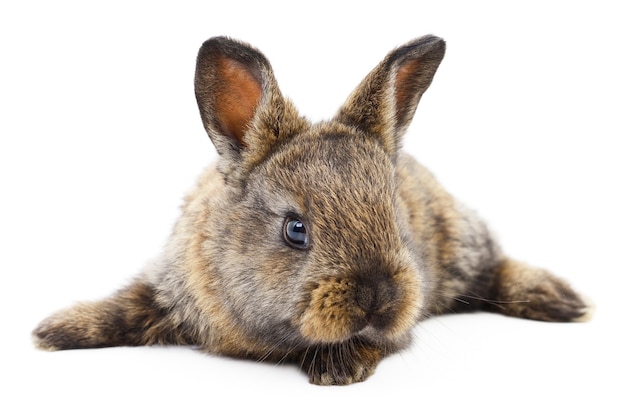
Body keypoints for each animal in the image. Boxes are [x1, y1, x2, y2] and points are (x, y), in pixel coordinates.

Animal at [34, 35, 588, 384]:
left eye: (397, 220)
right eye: (295, 230)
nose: (377, 296)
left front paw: (338, 370)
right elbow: (125, 306)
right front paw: (56, 332)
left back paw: (562, 301)